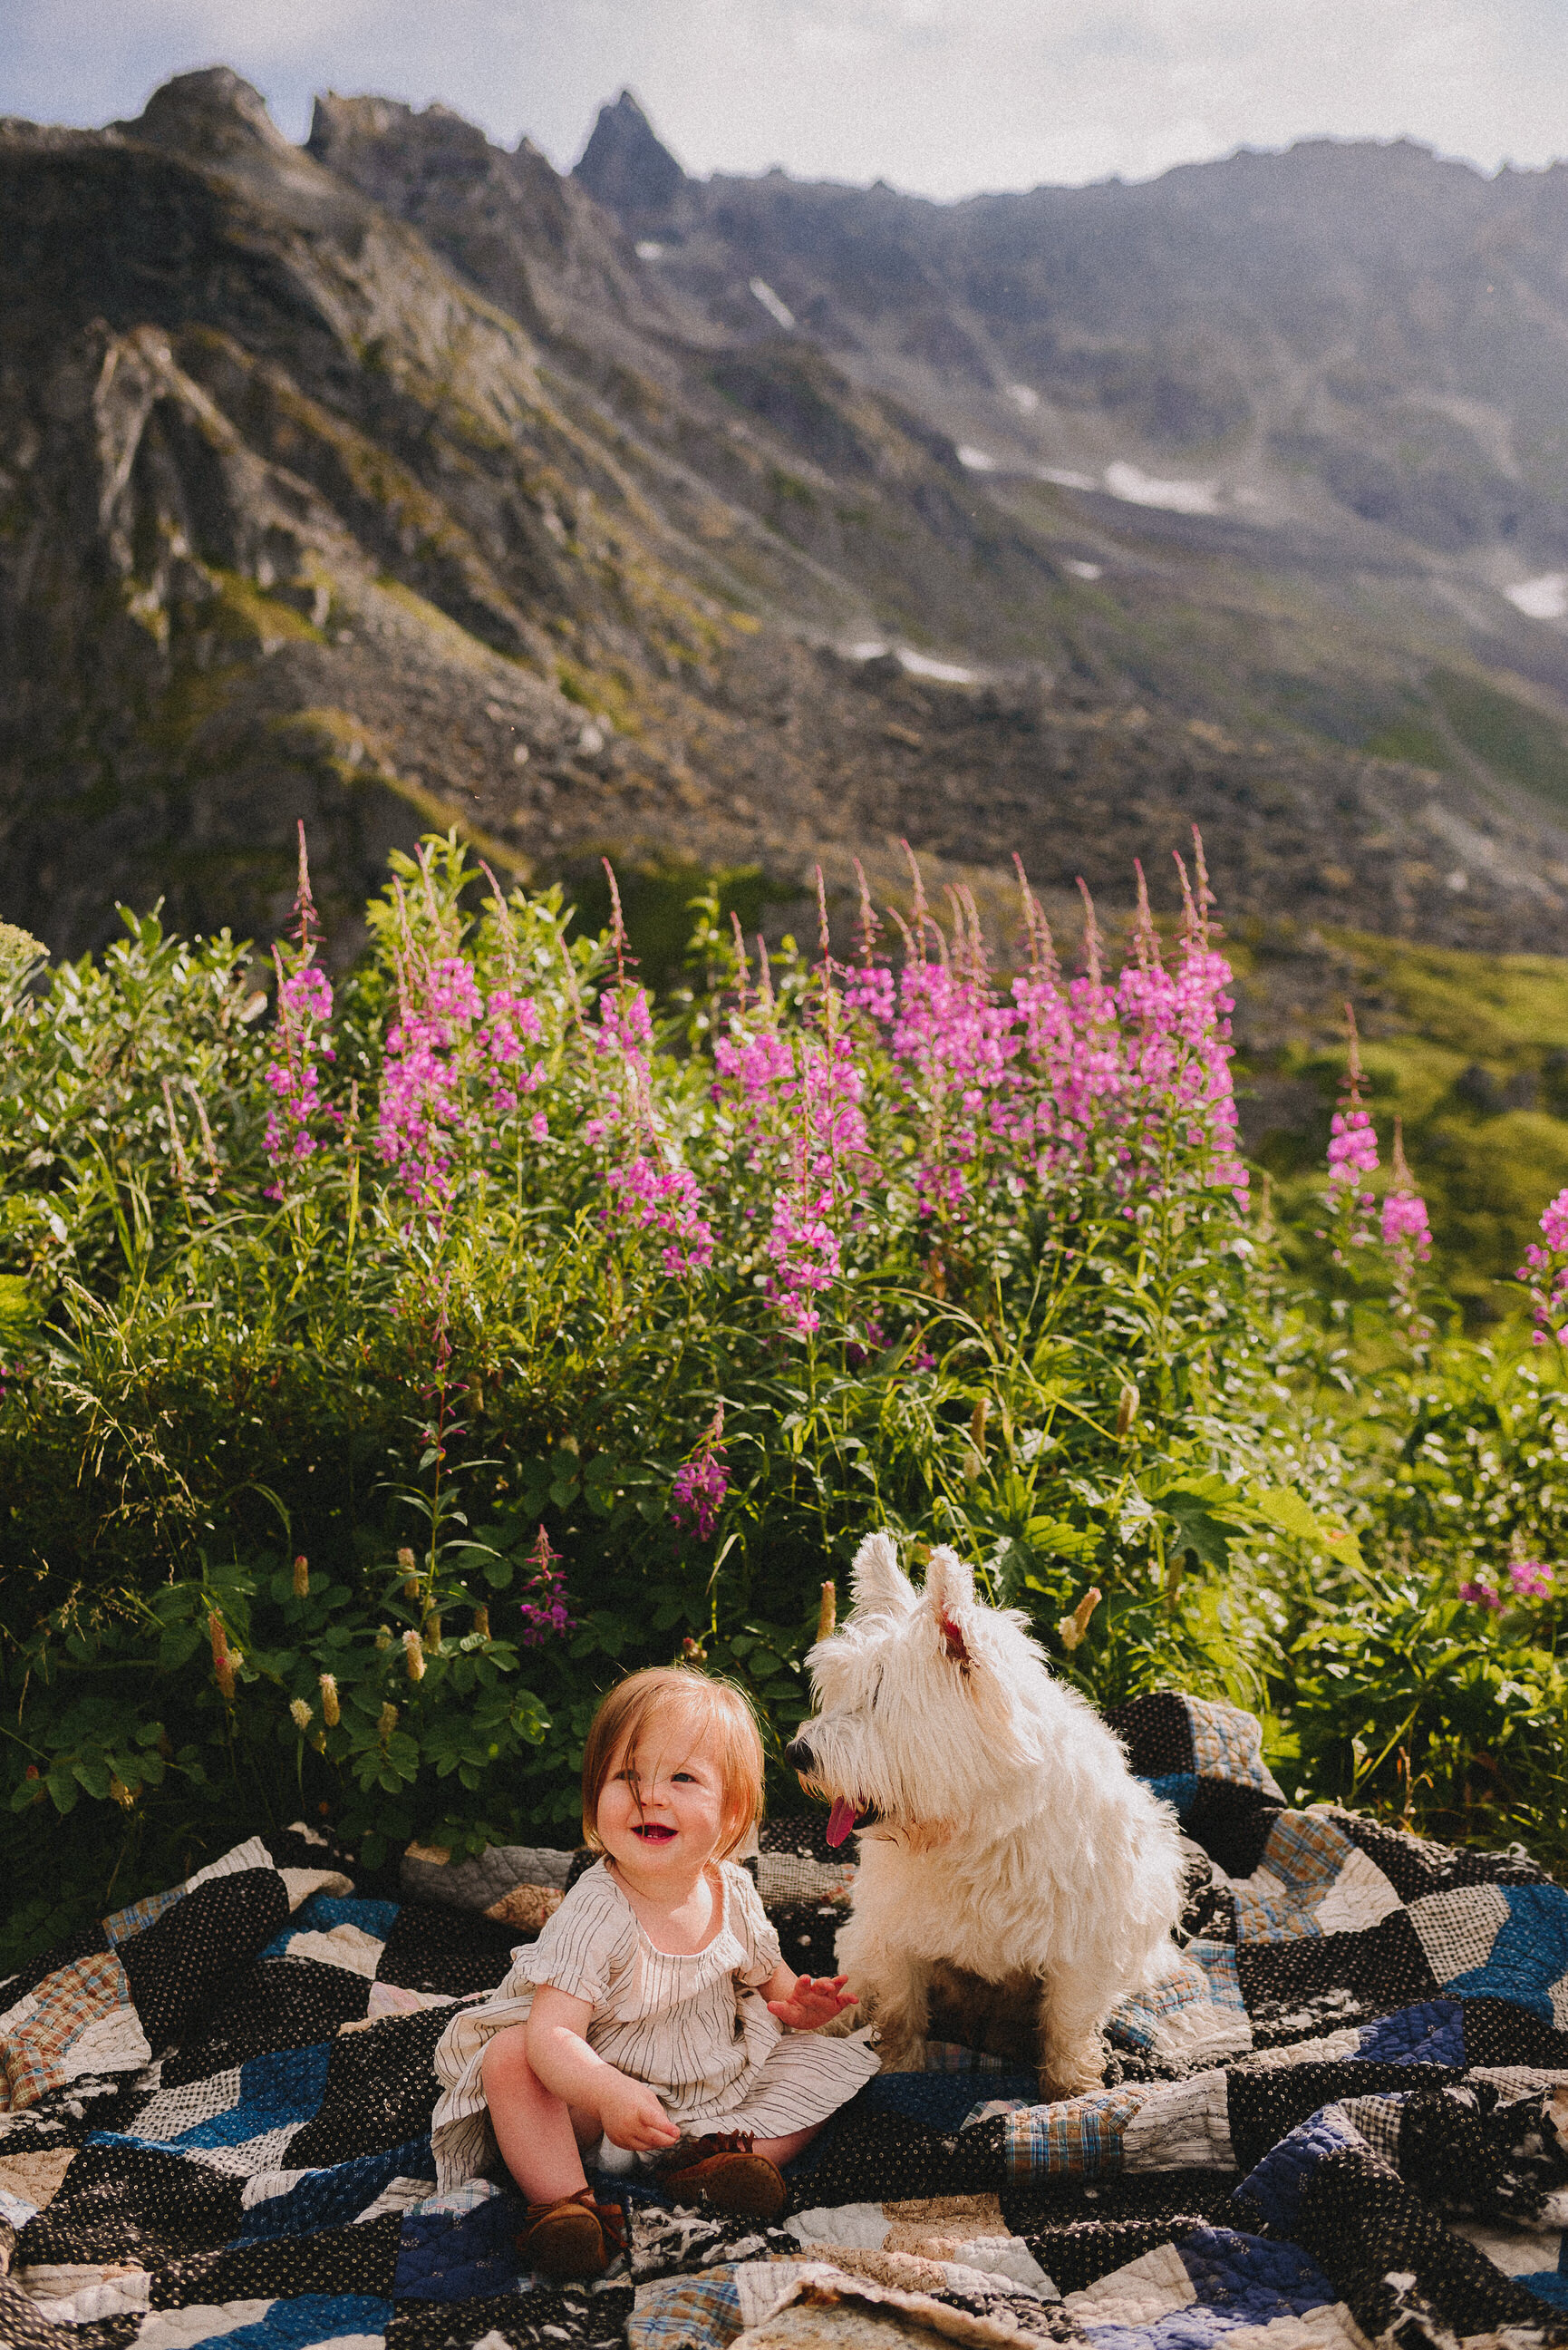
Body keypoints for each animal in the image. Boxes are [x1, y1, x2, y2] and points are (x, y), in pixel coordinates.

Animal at [789, 1531, 1185, 2105]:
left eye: (879, 1698)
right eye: (836, 1690)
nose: (796, 1754)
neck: (973, 1827)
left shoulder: (1082, 1949)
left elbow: (1068, 2026)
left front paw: (1070, 2092)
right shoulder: (894, 1934)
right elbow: (899, 2014)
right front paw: (898, 2073)